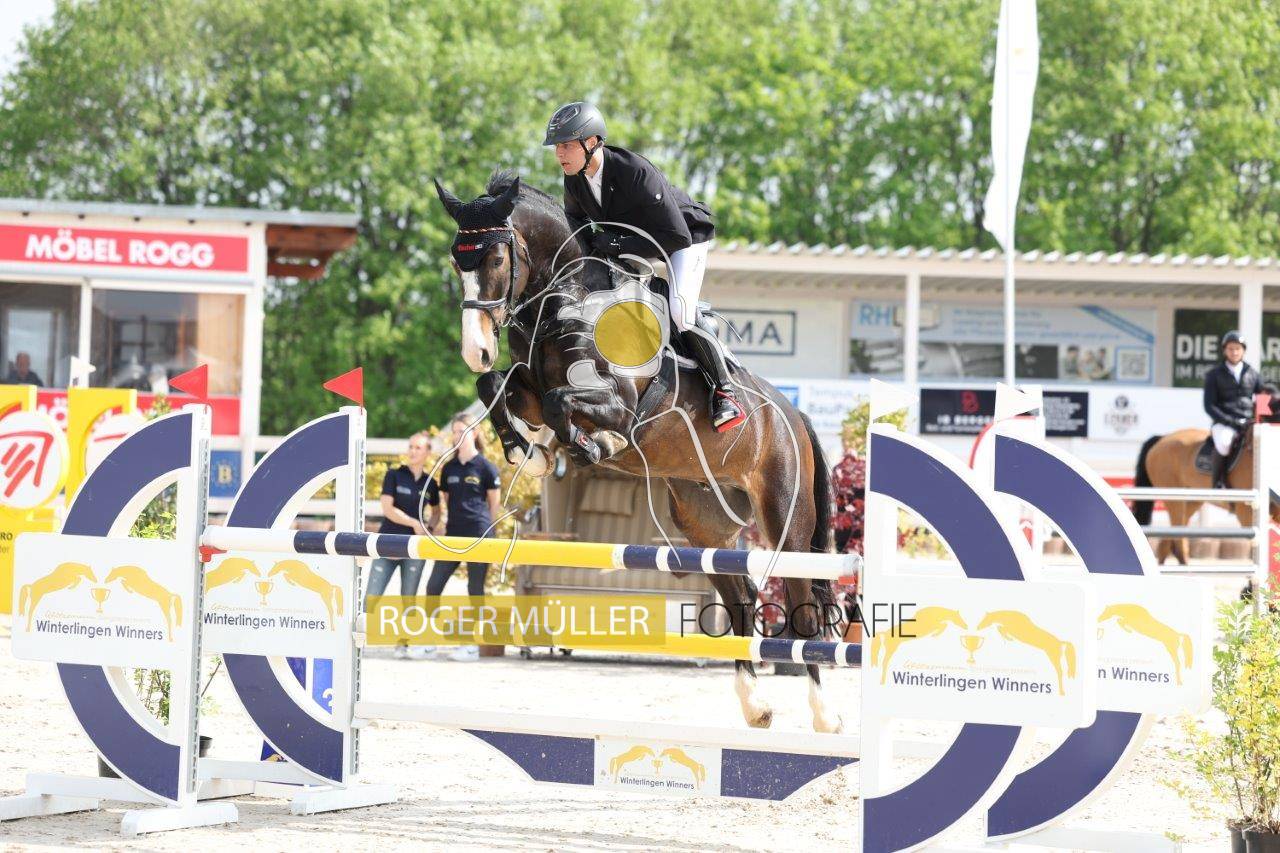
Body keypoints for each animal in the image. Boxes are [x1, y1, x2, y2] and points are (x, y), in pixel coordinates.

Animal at [433, 170, 842, 733]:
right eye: (457, 262)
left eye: (495, 259)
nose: (476, 349)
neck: (568, 302)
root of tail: (793, 415)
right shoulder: (528, 383)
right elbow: (496, 384)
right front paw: (528, 451)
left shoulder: (618, 404)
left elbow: (563, 404)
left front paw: (592, 444)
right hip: (706, 521)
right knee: (740, 598)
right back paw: (755, 706)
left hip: (786, 516)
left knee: (803, 597)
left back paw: (825, 715)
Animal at [1131, 418, 1280, 565]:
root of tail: (1162, 438)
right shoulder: (1246, 510)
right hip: (1175, 499)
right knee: (1178, 542)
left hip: (1192, 502)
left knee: (1169, 540)